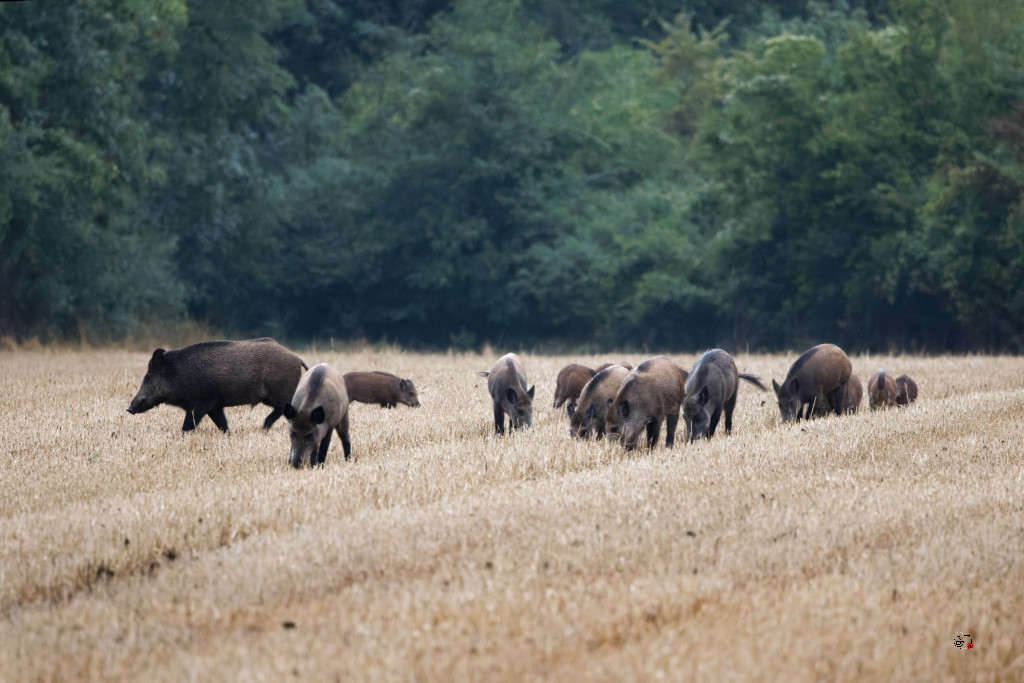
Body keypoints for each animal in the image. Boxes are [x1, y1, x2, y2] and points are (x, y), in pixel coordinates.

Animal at [127, 338, 307, 433]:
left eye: (148, 377)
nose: (129, 409)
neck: (178, 375)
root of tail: (297, 357)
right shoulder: (215, 406)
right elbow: (222, 423)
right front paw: (228, 434)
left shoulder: (200, 403)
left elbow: (189, 425)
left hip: (281, 393)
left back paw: (265, 426)